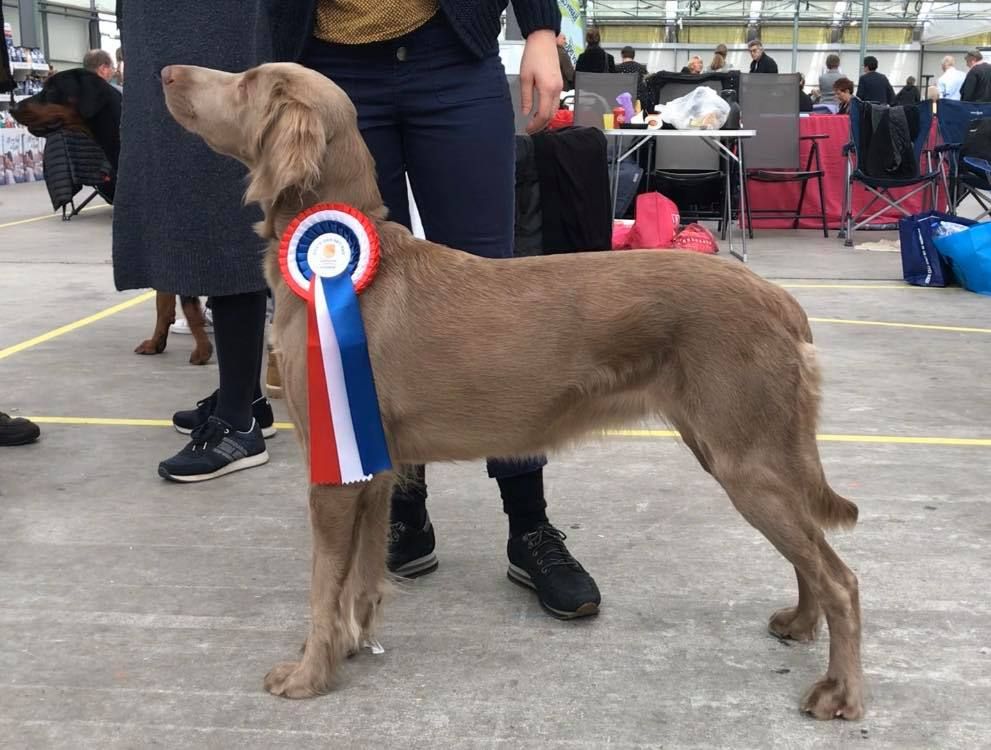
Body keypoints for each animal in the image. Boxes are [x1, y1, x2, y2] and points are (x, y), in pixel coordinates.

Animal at [11, 67, 213, 368]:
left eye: (52, 89)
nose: (13, 107)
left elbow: (186, 298)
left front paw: (202, 350)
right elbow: (162, 299)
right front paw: (156, 342)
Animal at [163, 64, 868, 724]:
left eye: (248, 82)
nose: (168, 73)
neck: (346, 273)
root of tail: (780, 301)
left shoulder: (334, 470)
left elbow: (321, 587)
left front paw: (308, 674)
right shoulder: (371, 466)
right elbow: (362, 576)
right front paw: (352, 644)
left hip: (746, 460)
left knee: (842, 577)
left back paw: (839, 692)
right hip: (745, 453)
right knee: (813, 555)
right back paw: (799, 624)